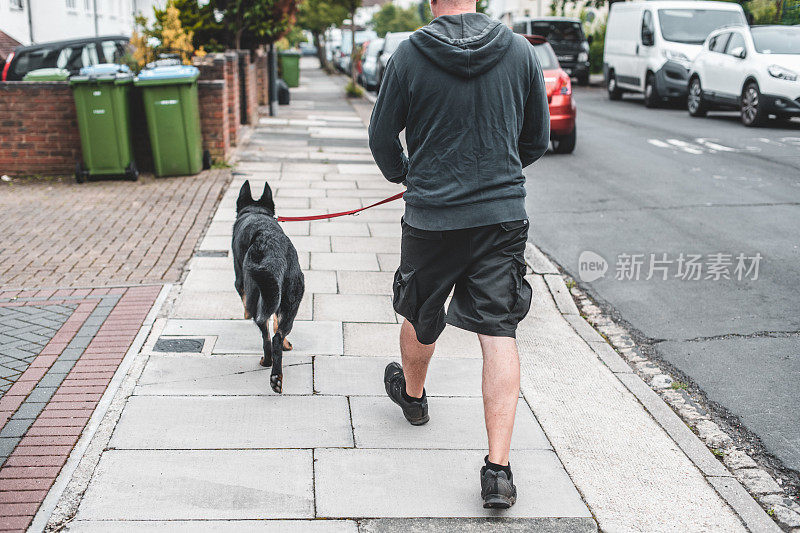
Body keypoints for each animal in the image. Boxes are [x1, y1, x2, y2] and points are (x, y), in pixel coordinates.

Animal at [234, 181, 306, 392]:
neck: (256, 211)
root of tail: (273, 250)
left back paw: (268, 364)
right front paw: (287, 344)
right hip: (289, 297)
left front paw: (244, 314)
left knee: (267, 338)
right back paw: (278, 372)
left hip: (258, 294)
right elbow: (276, 321)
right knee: (277, 335)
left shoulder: (240, 281)